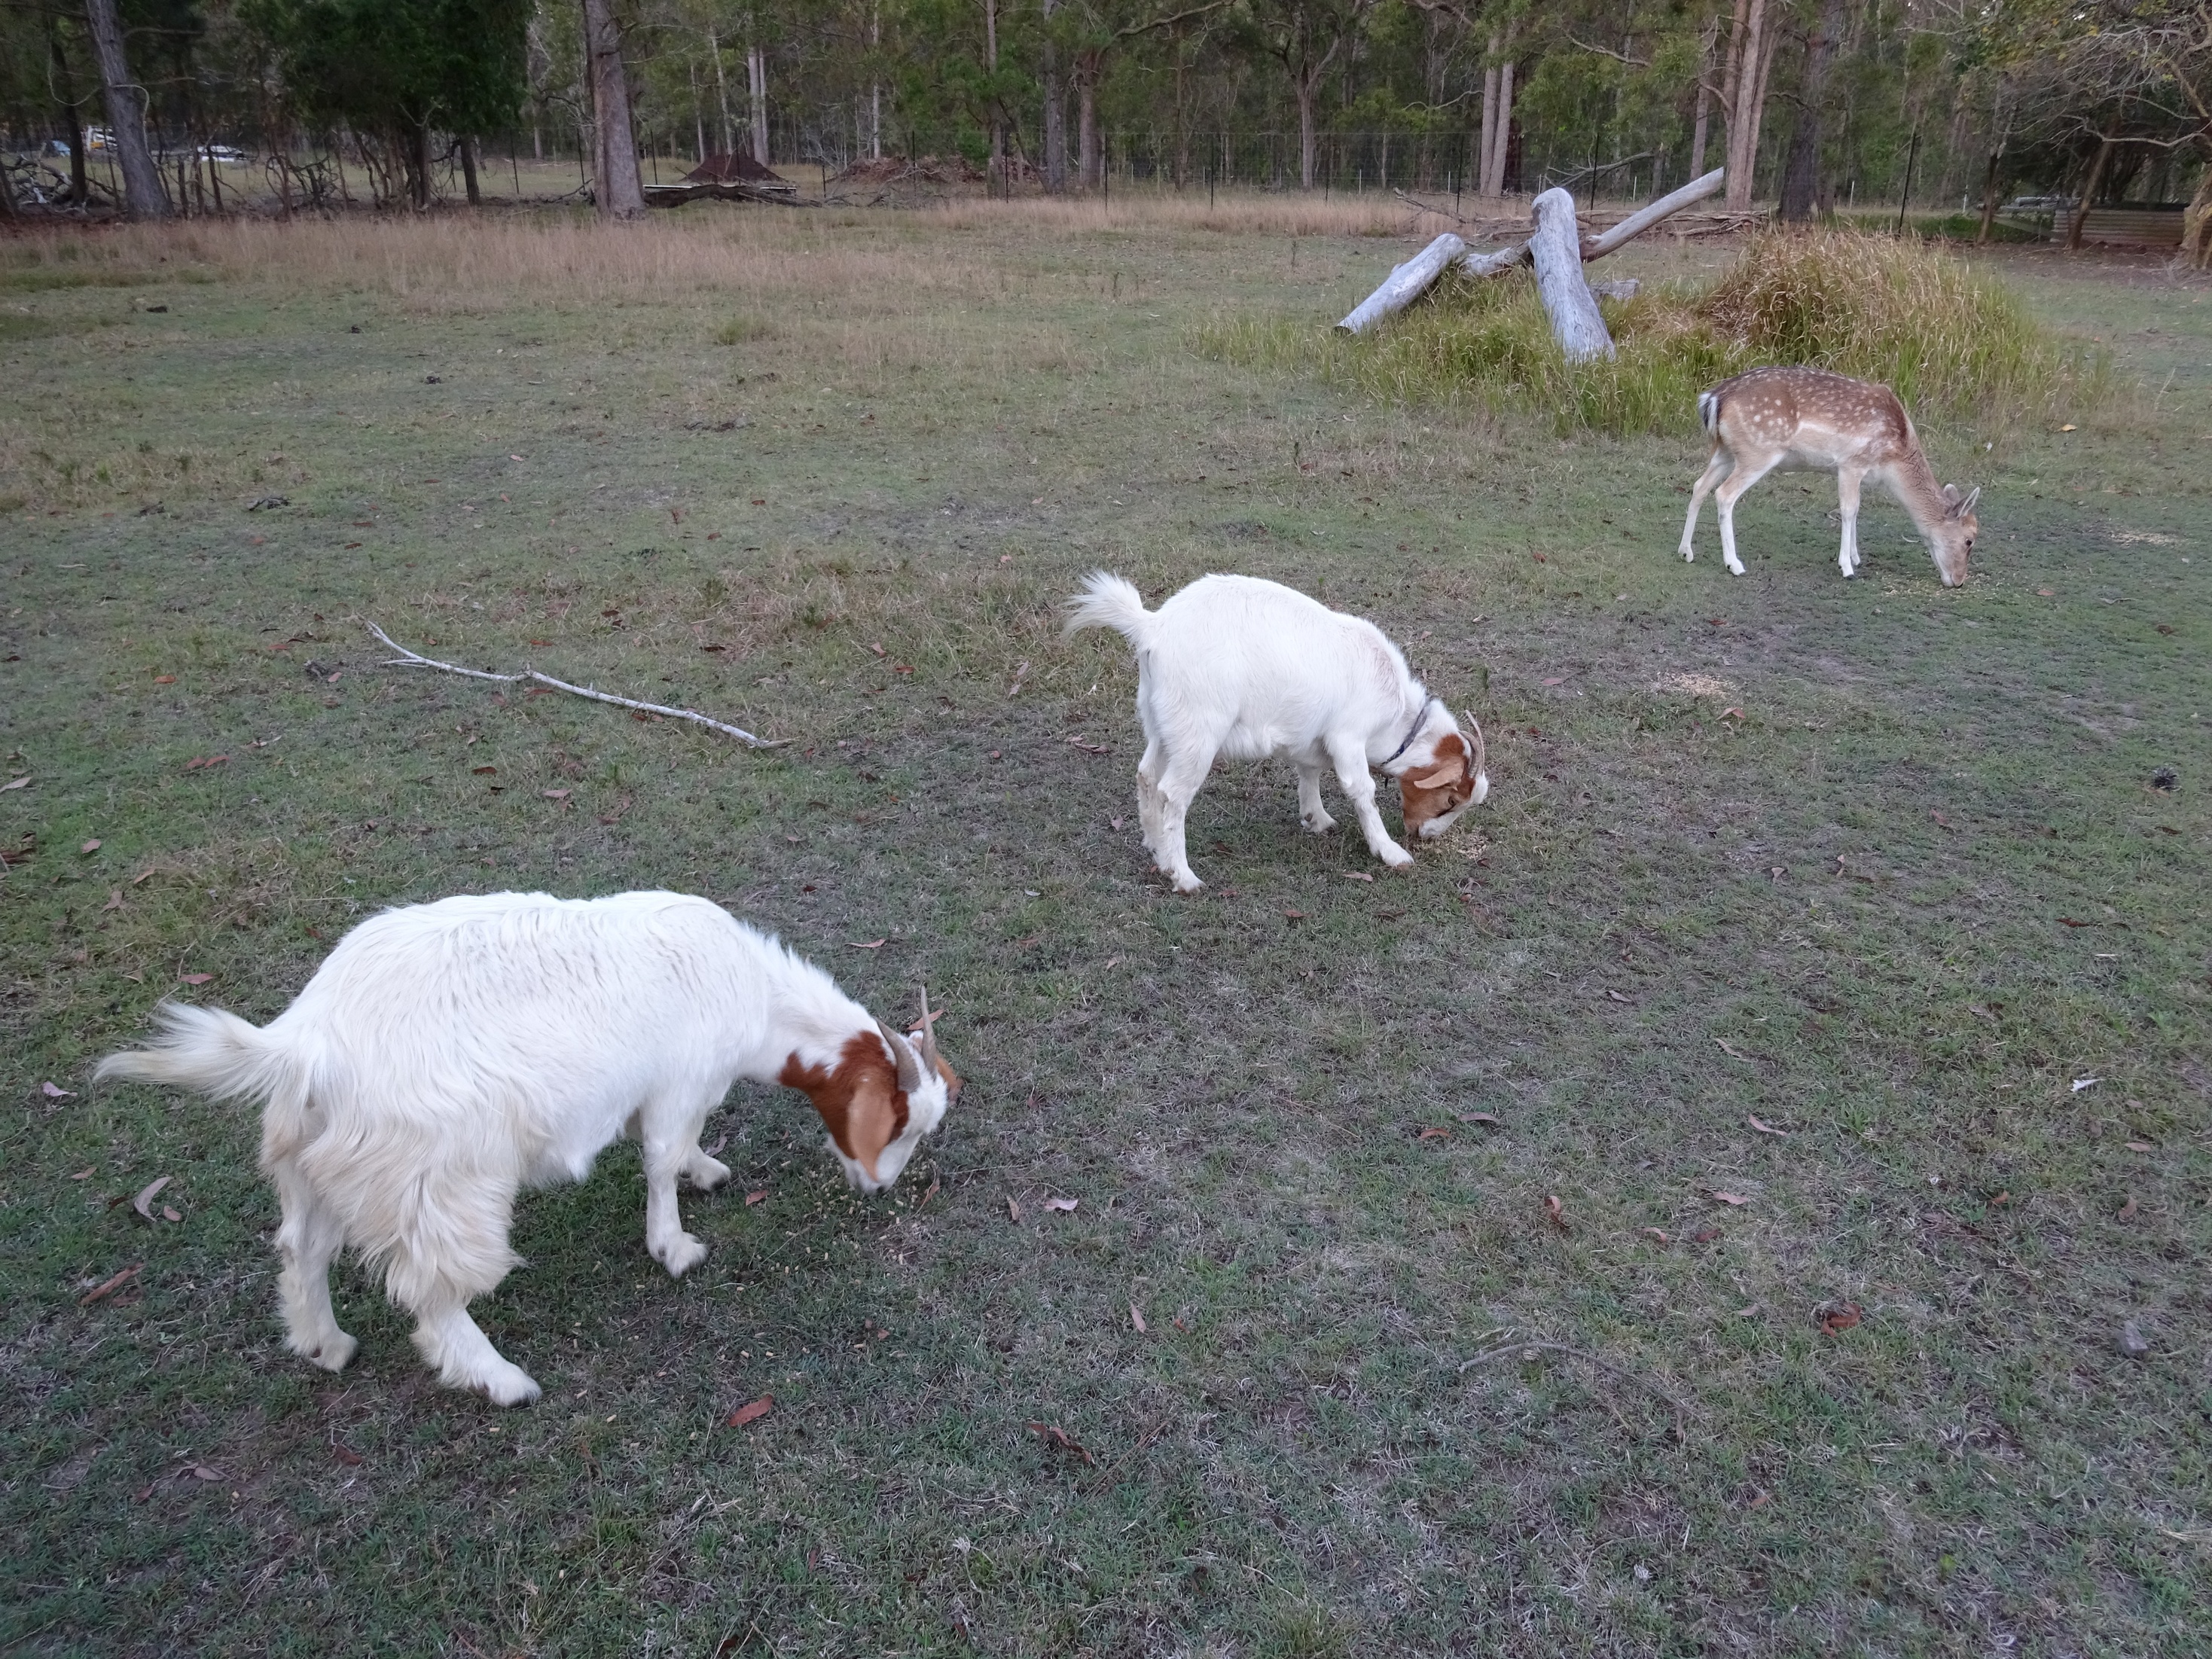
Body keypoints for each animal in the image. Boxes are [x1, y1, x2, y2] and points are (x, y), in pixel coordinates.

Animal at [94, 891, 957, 1406]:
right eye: (901, 1124)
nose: (881, 1190)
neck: (757, 997)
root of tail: (306, 1038)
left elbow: (673, 1150)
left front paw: (706, 1171)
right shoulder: (679, 1082)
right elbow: (659, 1158)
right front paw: (674, 1246)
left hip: (314, 1161)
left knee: (300, 1247)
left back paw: (325, 1343)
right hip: (438, 1181)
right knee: (431, 1289)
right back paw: (499, 1377)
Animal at [1065, 571, 1487, 893]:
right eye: (1450, 800)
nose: (1427, 836)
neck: (1398, 715)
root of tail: (1153, 627)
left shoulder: (1312, 738)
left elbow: (1309, 772)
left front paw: (1317, 818)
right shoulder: (1348, 737)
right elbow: (1362, 791)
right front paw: (1391, 852)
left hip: (1163, 724)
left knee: (1147, 775)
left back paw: (1157, 848)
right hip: (1198, 731)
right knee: (1174, 794)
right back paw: (1183, 876)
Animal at [1678, 366, 1980, 586]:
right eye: (1969, 540)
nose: (1958, 581)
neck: (1893, 461)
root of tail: (1714, 398)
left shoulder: (1855, 471)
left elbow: (1857, 510)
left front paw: (1856, 557)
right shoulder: (1851, 463)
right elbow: (1849, 510)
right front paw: (1847, 567)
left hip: (1725, 452)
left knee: (1699, 486)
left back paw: (1686, 552)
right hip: (1758, 453)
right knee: (1724, 494)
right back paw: (1735, 564)